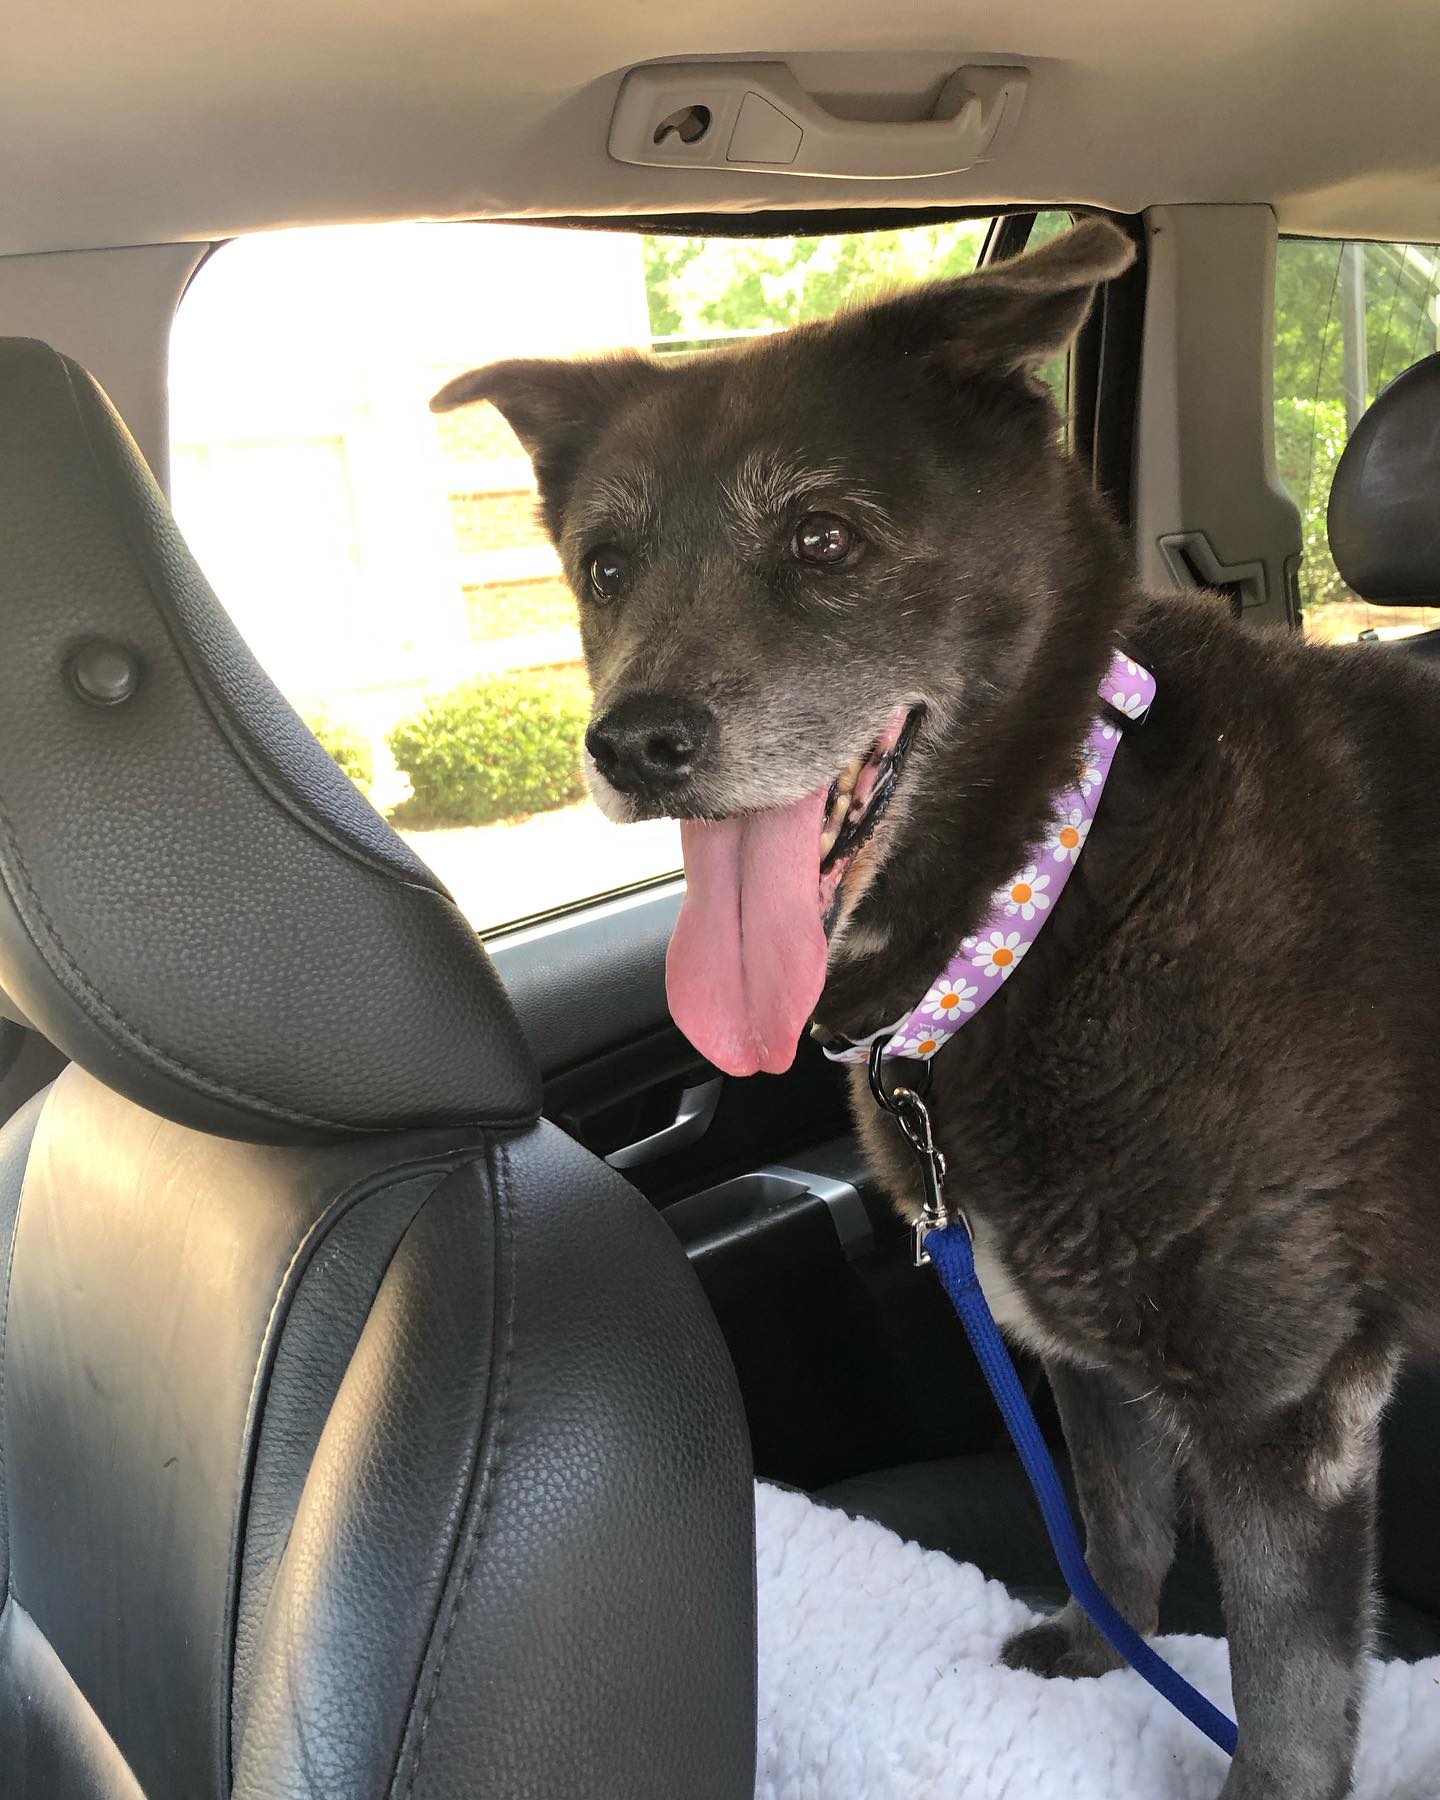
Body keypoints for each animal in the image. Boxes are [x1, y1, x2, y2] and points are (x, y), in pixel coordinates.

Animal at [433, 225, 1440, 1800]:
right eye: (602, 566)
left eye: (823, 542)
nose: (631, 744)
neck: (1051, 880)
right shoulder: (1078, 1355)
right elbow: (1114, 1530)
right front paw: (1097, 1661)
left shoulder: (1287, 1414)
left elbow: (1285, 1705)